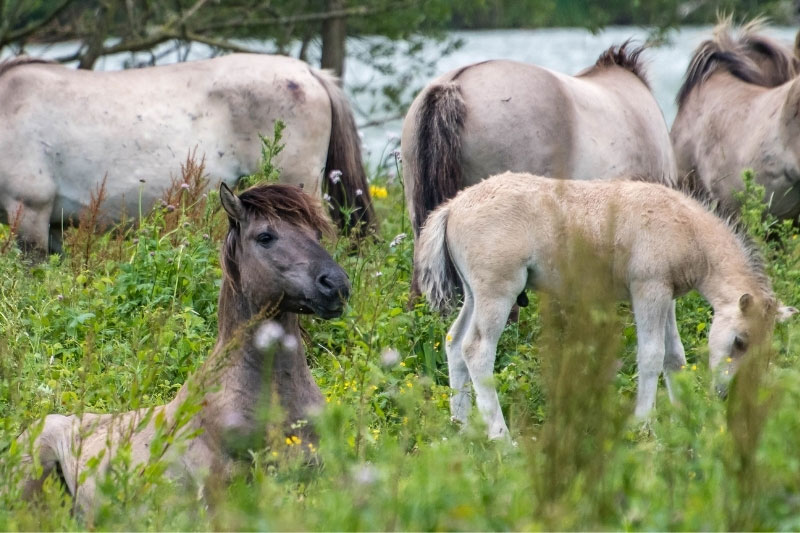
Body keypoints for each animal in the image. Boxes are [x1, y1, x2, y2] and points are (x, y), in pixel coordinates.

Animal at [415, 171, 796, 440]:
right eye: (740, 341)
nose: (723, 394)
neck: (684, 226)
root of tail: (453, 206)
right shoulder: (649, 289)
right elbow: (651, 356)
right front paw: (644, 426)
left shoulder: (666, 295)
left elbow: (674, 357)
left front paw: (684, 418)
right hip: (497, 291)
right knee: (476, 349)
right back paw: (501, 438)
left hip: (473, 294)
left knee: (454, 343)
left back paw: (462, 428)